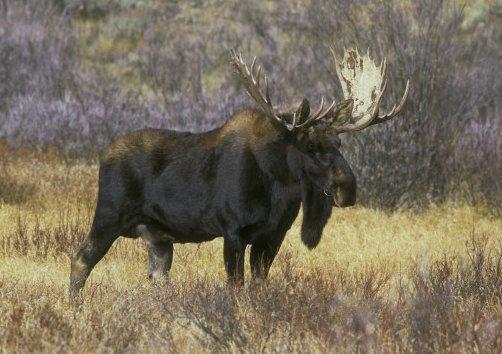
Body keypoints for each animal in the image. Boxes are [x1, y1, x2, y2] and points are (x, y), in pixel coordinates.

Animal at [68, 47, 410, 296]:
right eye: (310, 144)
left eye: (339, 142)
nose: (347, 187)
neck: (279, 190)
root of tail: (103, 155)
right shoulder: (233, 231)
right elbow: (236, 287)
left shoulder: (271, 237)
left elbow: (258, 286)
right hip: (109, 215)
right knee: (81, 258)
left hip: (158, 238)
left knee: (156, 276)